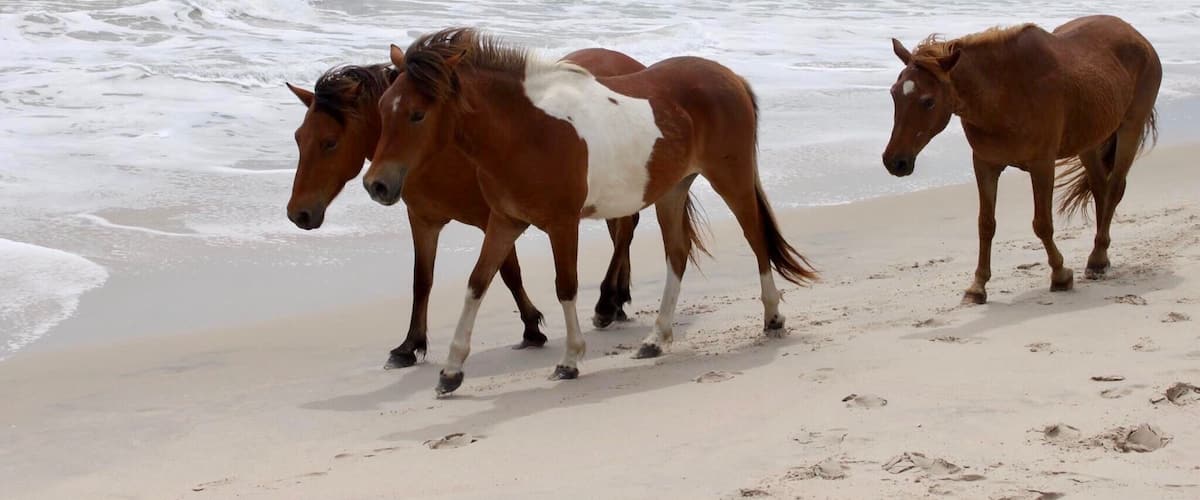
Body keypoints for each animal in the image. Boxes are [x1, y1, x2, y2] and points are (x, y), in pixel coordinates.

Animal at [284, 48, 646, 369]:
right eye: (299, 138)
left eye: (330, 143)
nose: (298, 214)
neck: (442, 151)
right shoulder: (424, 222)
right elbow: (422, 280)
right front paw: (409, 346)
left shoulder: (494, 219)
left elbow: (508, 274)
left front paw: (532, 327)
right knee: (623, 232)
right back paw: (617, 300)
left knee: (625, 233)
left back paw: (606, 303)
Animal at [363, 28, 817, 395]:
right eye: (383, 107)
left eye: (417, 114)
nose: (376, 185)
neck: (525, 130)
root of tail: (731, 77)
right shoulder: (505, 221)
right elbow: (477, 284)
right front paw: (451, 371)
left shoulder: (562, 225)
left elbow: (566, 286)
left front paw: (570, 360)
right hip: (672, 191)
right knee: (677, 254)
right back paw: (656, 340)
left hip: (731, 179)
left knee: (755, 238)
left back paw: (773, 318)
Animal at [883, 15, 1160, 304]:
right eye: (893, 93)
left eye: (928, 102)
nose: (895, 162)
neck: (1004, 93)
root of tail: (1136, 35)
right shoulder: (985, 165)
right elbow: (986, 225)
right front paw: (977, 286)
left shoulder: (1042, 165)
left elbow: (1042, 224)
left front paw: (1060, 275)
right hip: (1089, 142)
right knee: (1100, 188)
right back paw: (1098, 257)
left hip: (1130, 129)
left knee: (1115, 188)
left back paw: (1097, 260)